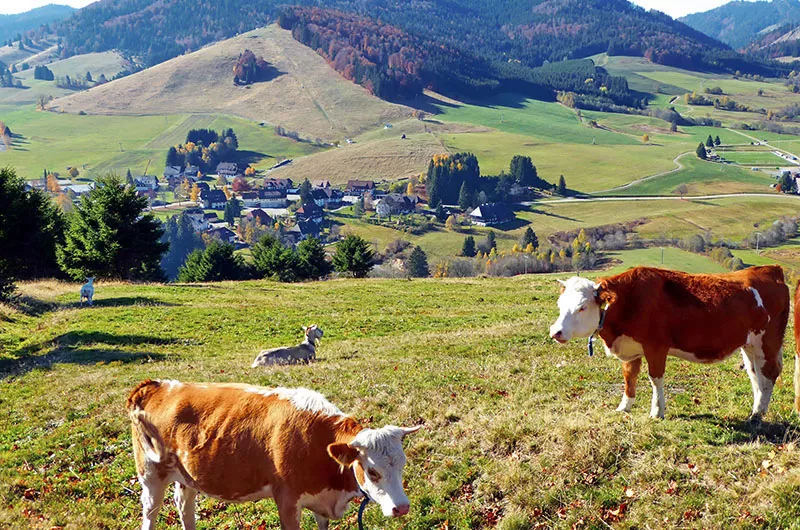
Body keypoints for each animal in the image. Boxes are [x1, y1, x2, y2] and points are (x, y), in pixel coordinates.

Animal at [126, 380, 418, 528]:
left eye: (402, 466)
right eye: (372, 471)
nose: (402, 508)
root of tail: (156, 385)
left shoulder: (322, 500)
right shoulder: (287, 500)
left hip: (187, 477)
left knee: (184, 507)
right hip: (151, 475)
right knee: (150, 512)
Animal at [552, 266, 788, 418]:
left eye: (582, 307)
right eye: (560, 304)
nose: (555, 332)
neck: (629, 301)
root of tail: (770, 269)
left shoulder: (656, 347)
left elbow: (655, 379)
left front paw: (657, 412)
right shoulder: (631, 348)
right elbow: (630, 377)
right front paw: (624, 407)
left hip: (767, 342)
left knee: (769, 374)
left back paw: (756, 415)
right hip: (750, 346)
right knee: (756, 375)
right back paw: (757, 410)